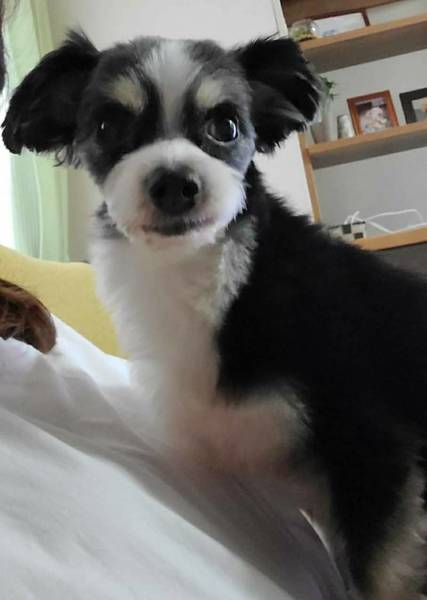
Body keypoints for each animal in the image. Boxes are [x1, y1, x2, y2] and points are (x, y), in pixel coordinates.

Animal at [3, 30, 427, 599]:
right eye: (107, 126)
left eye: (225, 126)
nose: (174, 184)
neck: (213, 278)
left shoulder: (372, 446)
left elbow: (378, 577)